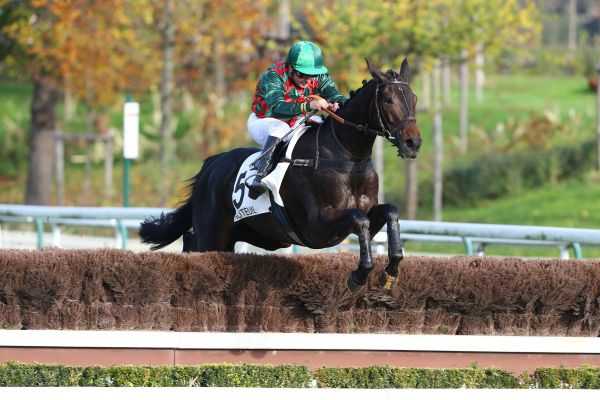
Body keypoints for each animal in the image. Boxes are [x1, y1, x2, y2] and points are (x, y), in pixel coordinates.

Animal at [140, 58, 422, 290]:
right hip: (213, 233)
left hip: (249, 235)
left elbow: (390, 211)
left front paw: (391, 271)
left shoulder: (363, 218)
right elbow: (358, 218)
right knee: (196, 245)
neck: (347, 156)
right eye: (388, 100)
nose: (413, 143)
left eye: (414, 98)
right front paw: (359, 275)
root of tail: (211, 164)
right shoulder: (316, 227)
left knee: (190, 240)